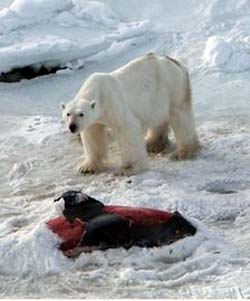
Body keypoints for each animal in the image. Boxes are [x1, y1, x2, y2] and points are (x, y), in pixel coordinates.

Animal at [62, 53, 201, 175]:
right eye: (68, 114)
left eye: (81, 114)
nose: (72, 126)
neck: (98, 91)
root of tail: (175, 62)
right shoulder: (94, 120)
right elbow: (92, 135)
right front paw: (86, 168)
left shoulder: (113, 103)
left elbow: (127, 128)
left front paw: (127, 169)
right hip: (156, 99)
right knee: (158, 118)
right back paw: (152, 143)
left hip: (172, 87)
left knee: (180, 116)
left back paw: (183, 151)